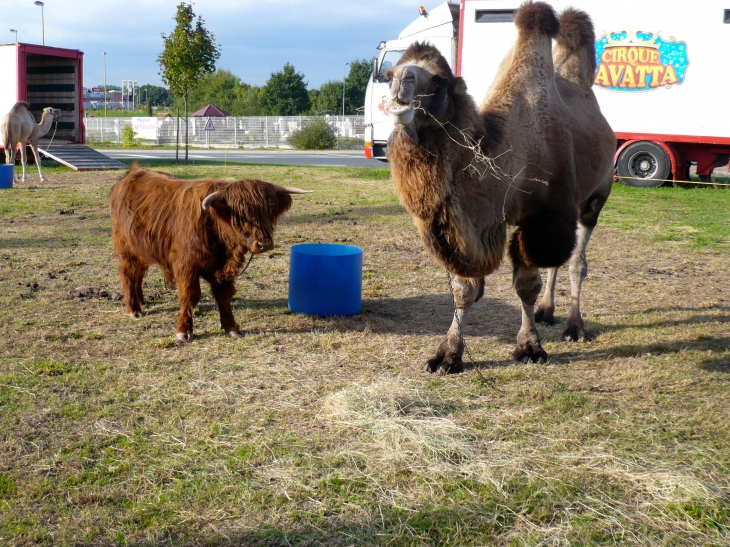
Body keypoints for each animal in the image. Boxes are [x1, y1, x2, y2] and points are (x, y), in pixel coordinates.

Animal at [109, 164, 308, 342]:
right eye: (239, 213)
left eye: (269, 209)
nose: (264, 244)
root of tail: (132, 172)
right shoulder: (186, 265)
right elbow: (190, 296)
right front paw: (184, 331)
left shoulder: (223, 269)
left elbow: (224, 296)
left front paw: (232, 327)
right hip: (126, 249)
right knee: (128, 273)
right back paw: (133, 308)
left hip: (141, 249)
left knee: (139, 272)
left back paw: (141, 301)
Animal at [386, 0, 616, 374]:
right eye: (389, 73)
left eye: (438, 80)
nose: (400, 84)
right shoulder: (482, 223)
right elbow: (464, 288)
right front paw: (447, 355)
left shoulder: (540, 213)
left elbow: (526, 285)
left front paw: (530, 347)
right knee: (558, 261)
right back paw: (547, 312)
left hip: (593, 201)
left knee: (575, 261)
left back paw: (574, 327)